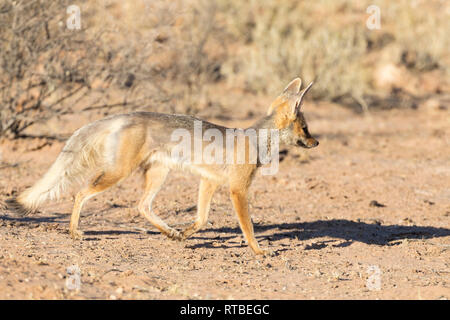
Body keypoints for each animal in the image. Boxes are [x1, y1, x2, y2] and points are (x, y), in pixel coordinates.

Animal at [5, 77, 318, 255]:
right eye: (305, 128)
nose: (316, 142)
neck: (256, 139)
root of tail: (125, 114)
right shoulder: (237, 190)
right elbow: (248, 228)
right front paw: (259, 251)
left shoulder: (209, 181)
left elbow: (202, 219)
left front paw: (186, 233)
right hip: (119, 174)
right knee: (80, 193)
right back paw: (73, 232)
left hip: (158, 174)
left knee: (142, 206)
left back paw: (170, 232)